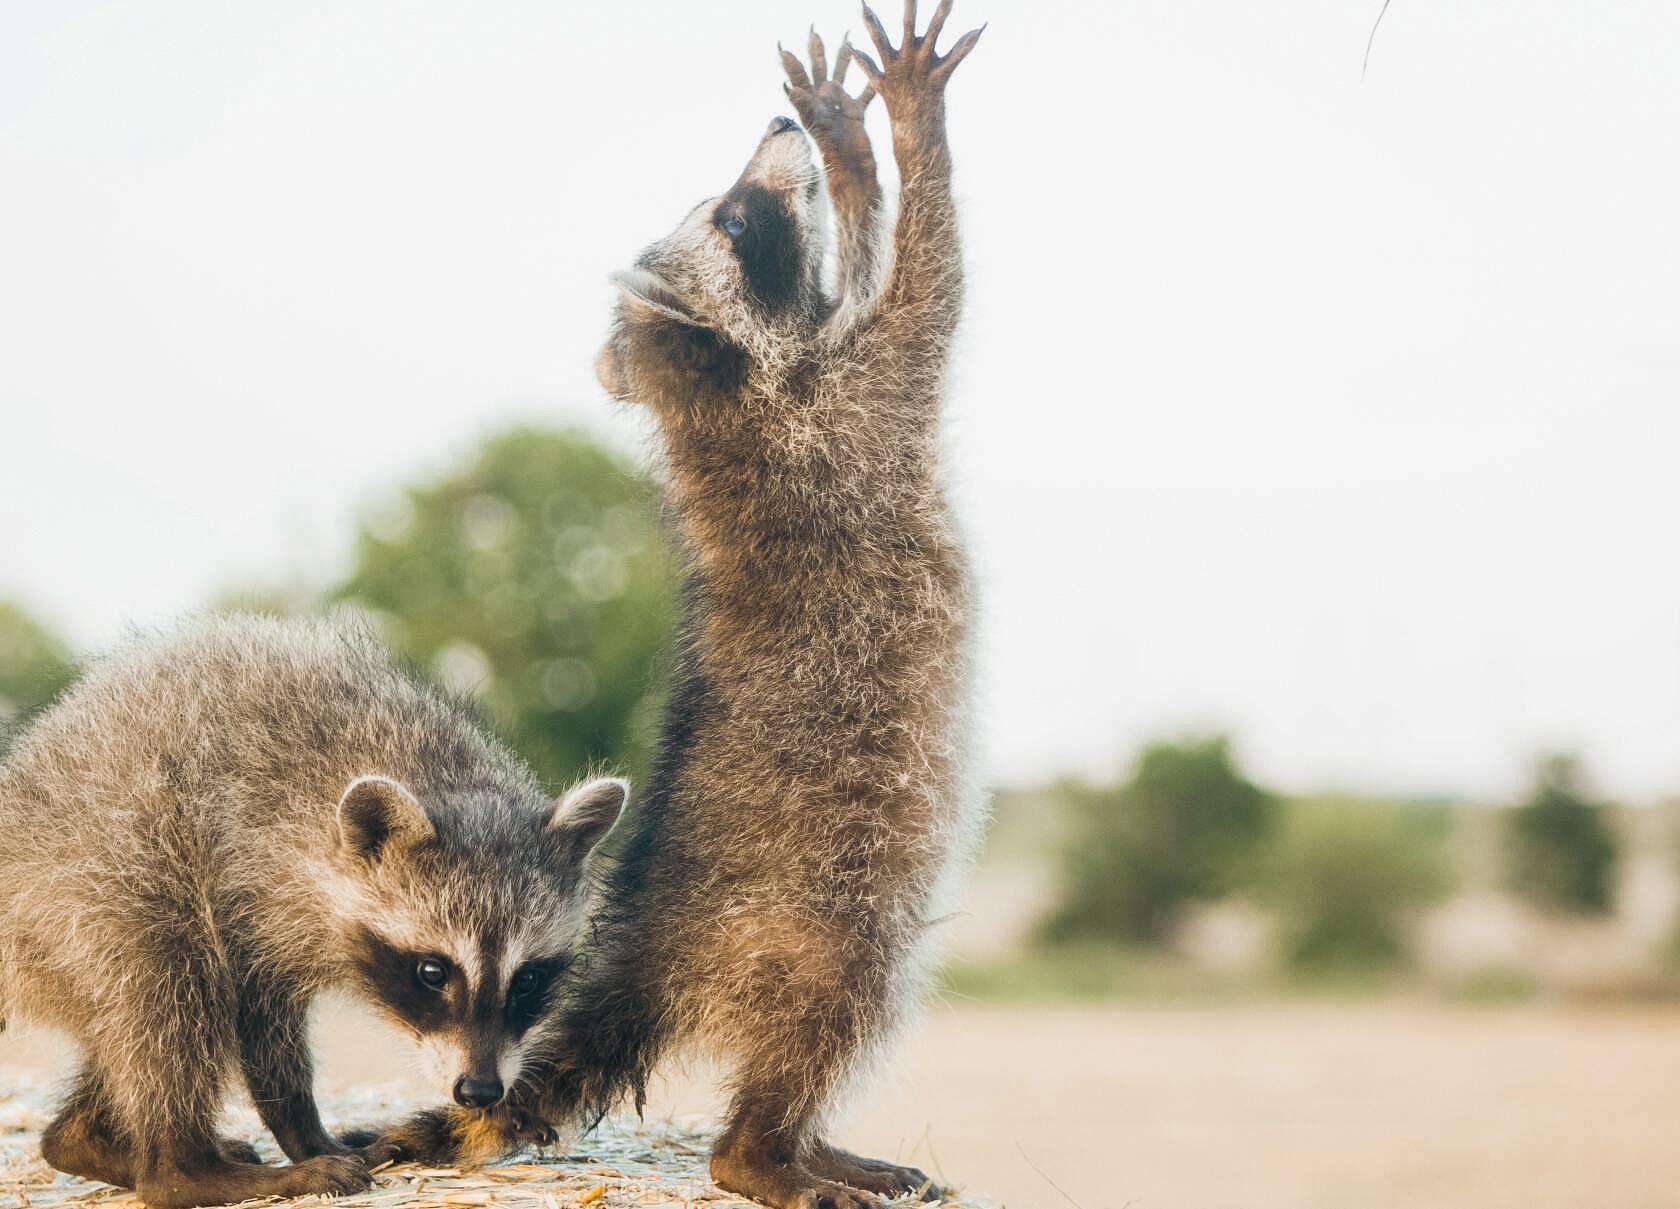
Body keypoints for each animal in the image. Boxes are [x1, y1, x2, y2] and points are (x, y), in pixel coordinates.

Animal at [0, 617, 624, 1202]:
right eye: (432, 972)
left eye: (528, 981)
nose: (479, 1091)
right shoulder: (251, 872)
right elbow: (257, 1011)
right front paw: (304, 1133)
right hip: (93, 877)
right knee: (171, 977)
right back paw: (183, 1170)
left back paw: (82, 1137)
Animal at [357, 4, 981, 1202]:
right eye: (737, 219)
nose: (779, 132)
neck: (715, 393)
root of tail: (646, 951)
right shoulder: (858, 402)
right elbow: (928, 274)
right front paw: (894, 133)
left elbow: (879, 269)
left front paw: (845, 145)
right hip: (818, 917)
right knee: (835, 1008)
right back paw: (769, 1152)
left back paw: (809, 1141)